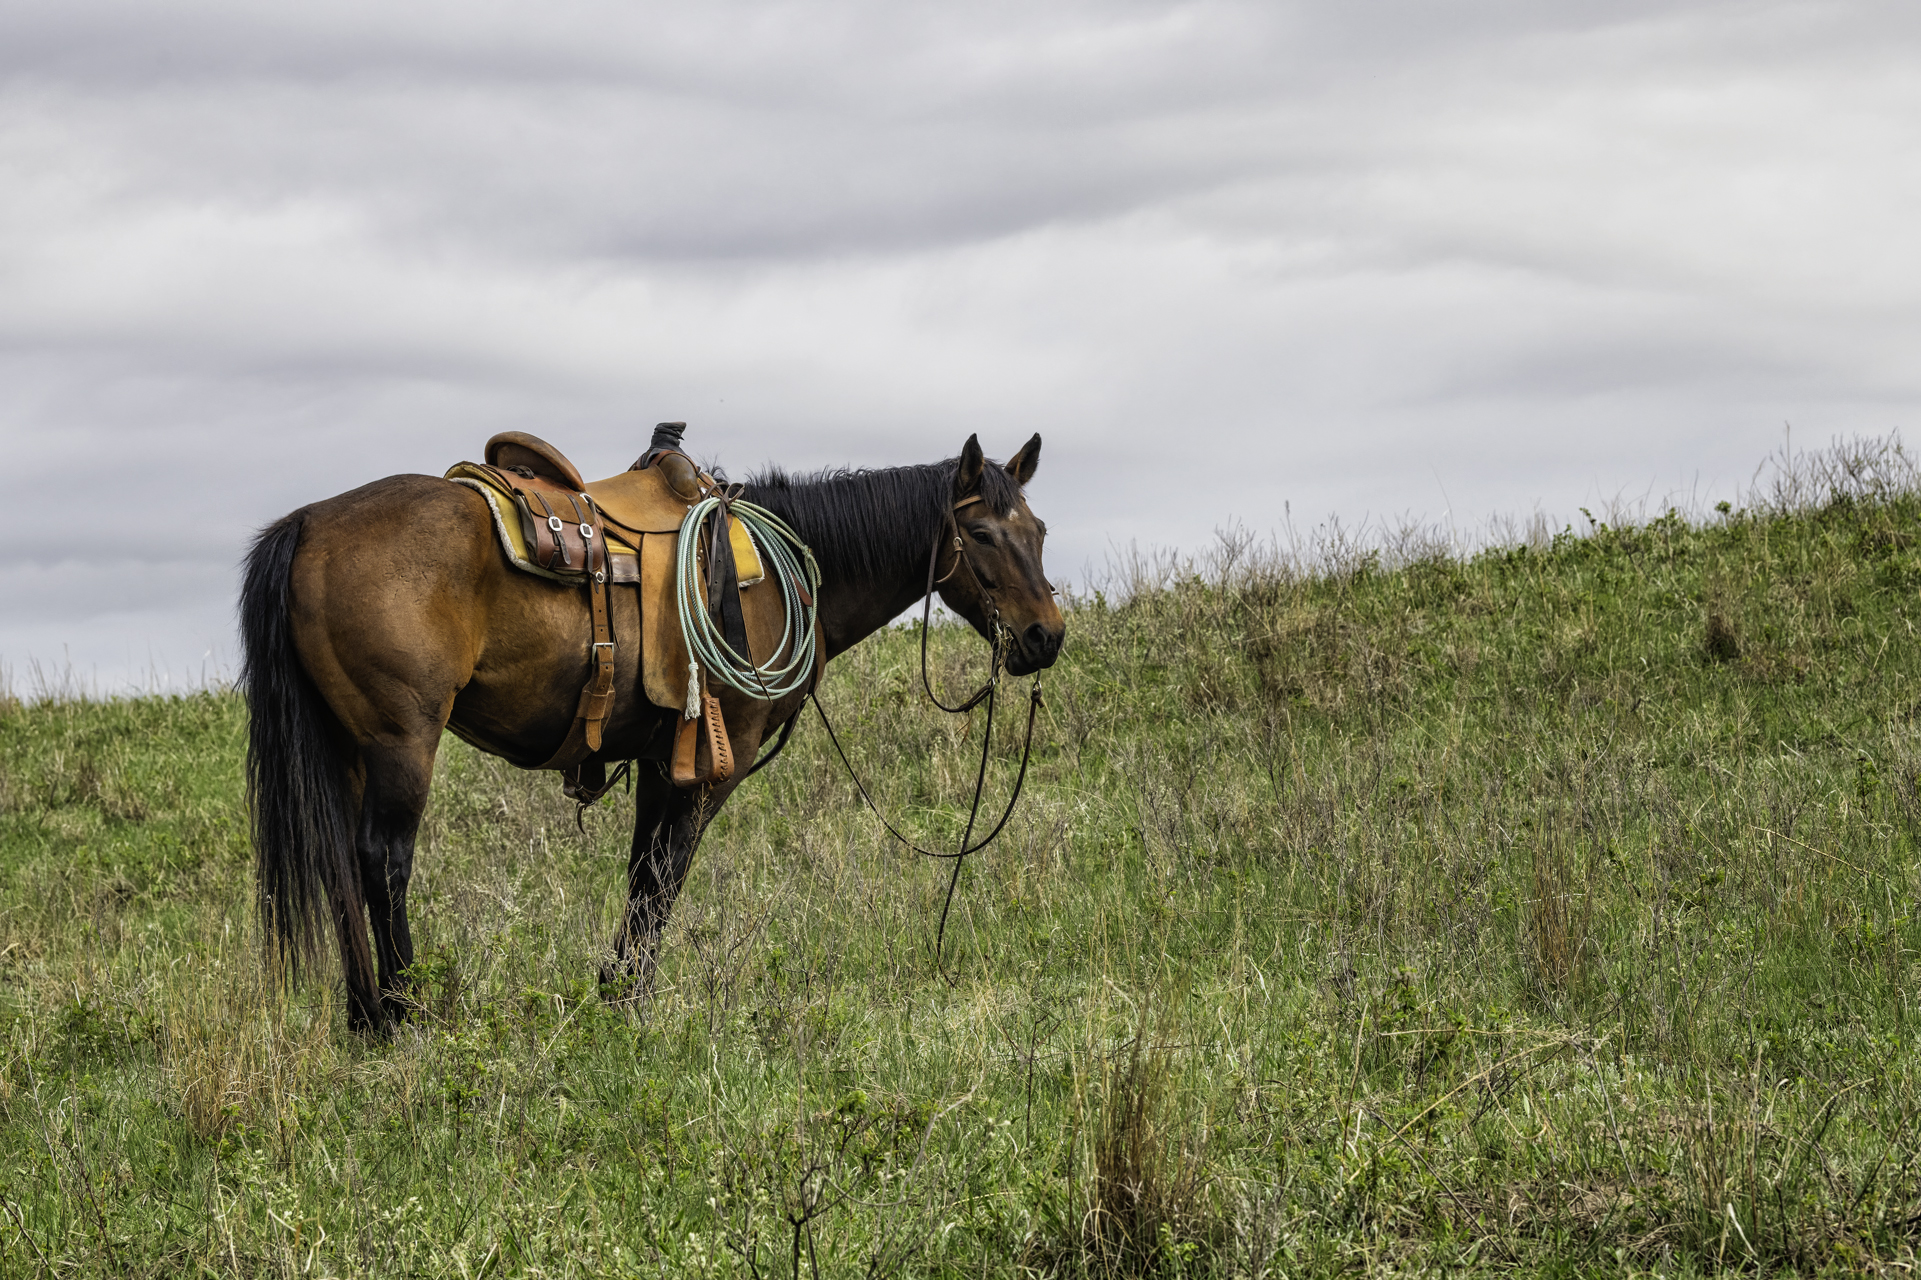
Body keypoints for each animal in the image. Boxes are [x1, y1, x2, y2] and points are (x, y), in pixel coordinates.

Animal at [240, 428, 1068, 1030]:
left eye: (1039, 529)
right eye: (982, 534)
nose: (1044, 637)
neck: (782, 575)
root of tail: (308, 523)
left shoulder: (657, 760)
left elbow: (644, 874)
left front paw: (615, 993)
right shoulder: (708, 765)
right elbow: (661, 880)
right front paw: (626, 1001)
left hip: (348, 747)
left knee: (339, 866)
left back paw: (365, 1016)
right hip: (400, 741)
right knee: (382, 861)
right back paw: (404, 1012)